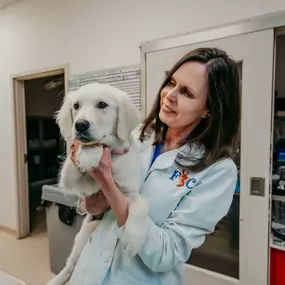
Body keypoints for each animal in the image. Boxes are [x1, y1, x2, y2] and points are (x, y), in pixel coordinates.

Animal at [45, 81, 148, 284]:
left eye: (102, 105)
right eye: (76, 106)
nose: (80, 125)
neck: (111, 157)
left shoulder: (128, 193)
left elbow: (142, 204)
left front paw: (134, 240)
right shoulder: (68, 177)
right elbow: (87, 147)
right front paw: (90, 154)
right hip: (82, 236)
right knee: (69, 267)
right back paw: (54, 280)